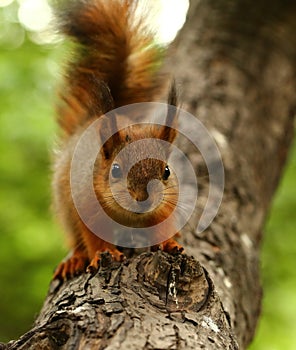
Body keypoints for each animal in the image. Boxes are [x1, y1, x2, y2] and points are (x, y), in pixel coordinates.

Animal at [52, 0, 183, 278]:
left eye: (166, 171)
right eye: (115, 170)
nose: (144, 199)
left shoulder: (165, 206)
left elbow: (162, 225)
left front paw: (170, 242)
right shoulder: (86, 205)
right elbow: (93, 237)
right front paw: (106, 252)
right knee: (74, 239)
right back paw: (74, 259)